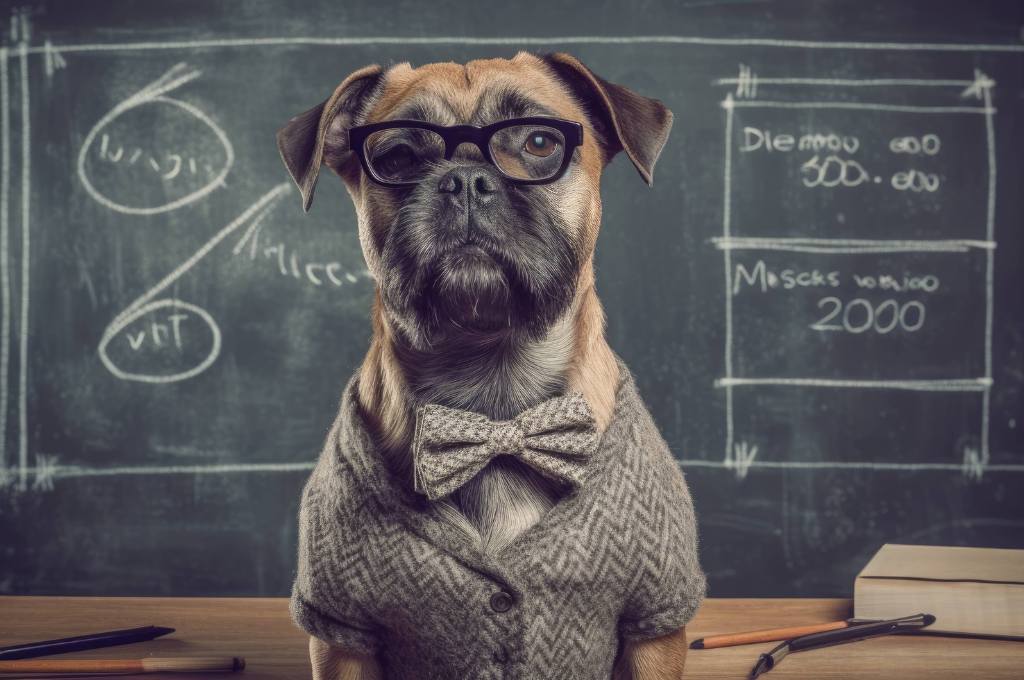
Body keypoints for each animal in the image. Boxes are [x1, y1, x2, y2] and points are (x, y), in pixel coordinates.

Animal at [276, 50, 700, 675]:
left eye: (540, 141)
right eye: (397, 157)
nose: (467, 181)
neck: (493, 395)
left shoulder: (653, 625)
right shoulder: (343, 635)